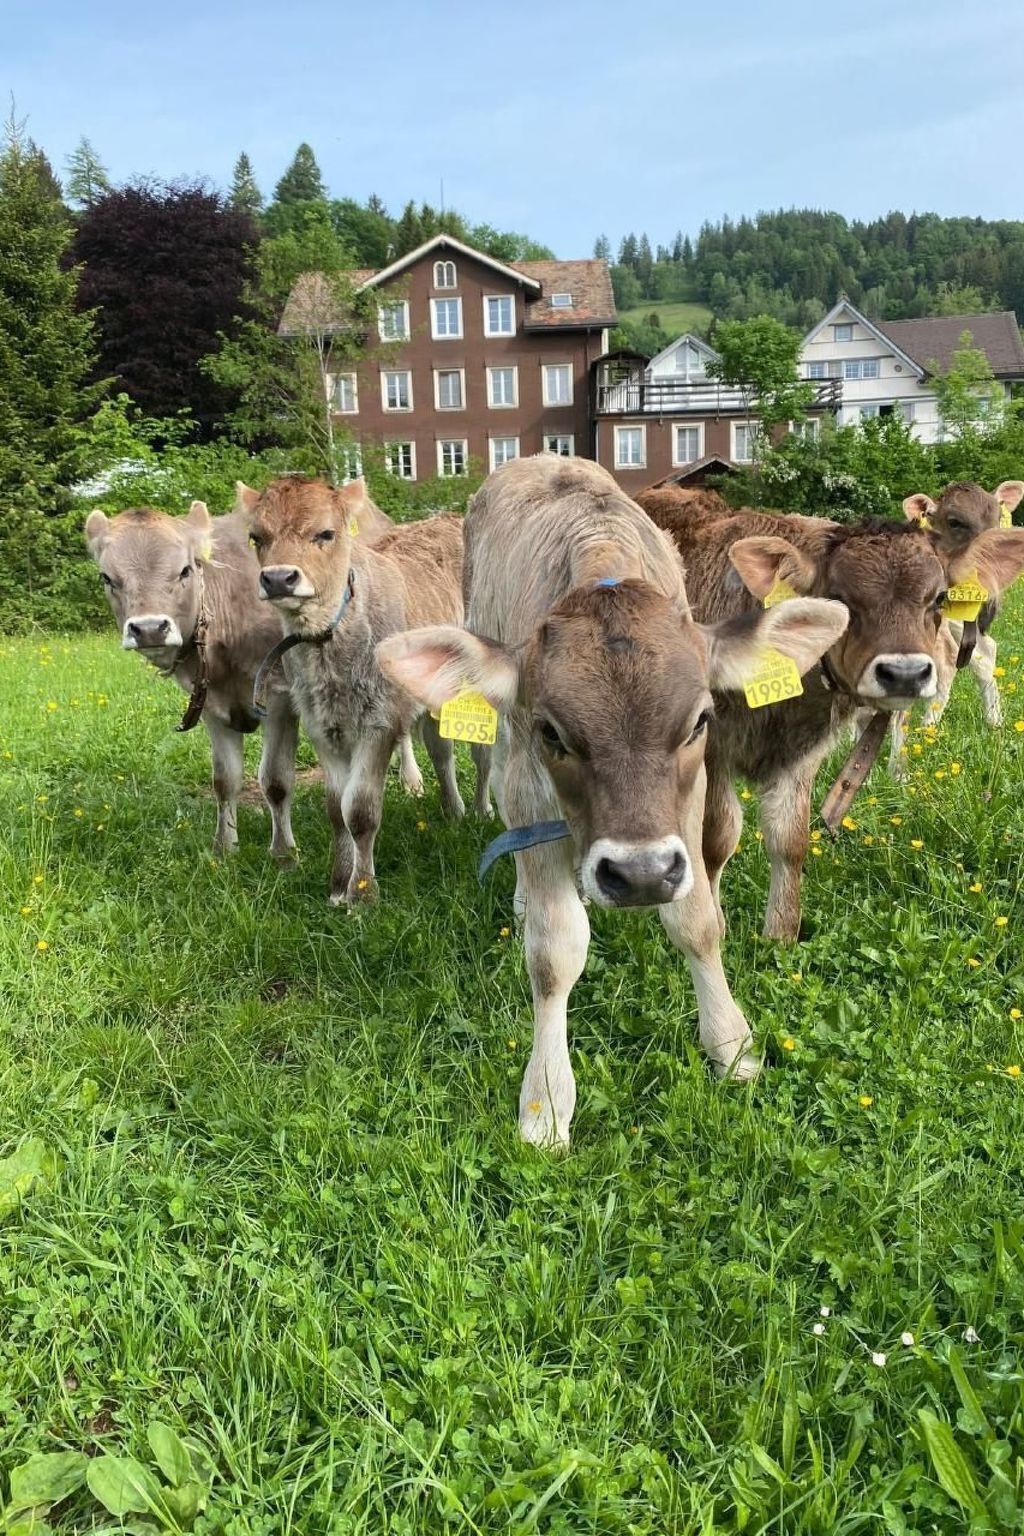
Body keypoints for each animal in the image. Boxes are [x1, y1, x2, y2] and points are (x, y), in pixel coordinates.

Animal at [244, 476, 489, 905]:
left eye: (326, 533)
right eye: (257, 536)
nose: (277, 578)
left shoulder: (379, 721)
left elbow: (359, 809)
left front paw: (362, 893)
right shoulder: (321, 725)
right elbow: (335, 809)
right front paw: (339, 883)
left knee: (473, 753)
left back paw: (475, 809)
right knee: (439, 747)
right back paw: (449, 808)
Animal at [376, 455, 849, 1146]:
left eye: (700, 721)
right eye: (553, 732)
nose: (641, 874)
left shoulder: (689, 800)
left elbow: (697, 922)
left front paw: (730, 1044)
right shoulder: (531, 782)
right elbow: (554, 951)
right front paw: (546, 1099)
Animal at [638, 485, 1024, 944]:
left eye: (939, 598)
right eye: (840, 600)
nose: (905, 673)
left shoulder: (803, 752)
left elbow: (790, 839)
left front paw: (780, 934)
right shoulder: (710, 749)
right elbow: (716, 839)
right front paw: (718, 922)